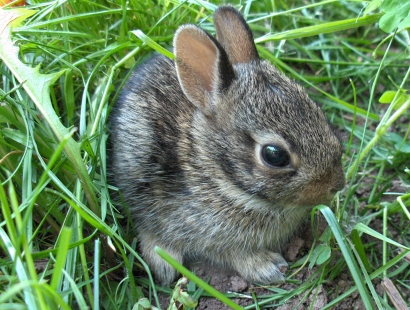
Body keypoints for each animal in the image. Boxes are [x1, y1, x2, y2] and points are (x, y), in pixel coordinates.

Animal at [107, 5, 344, 286]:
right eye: (274, 155)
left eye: (318, 113)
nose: (336, 185)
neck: (216, 173)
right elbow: (230, 253)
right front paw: (268, 267)